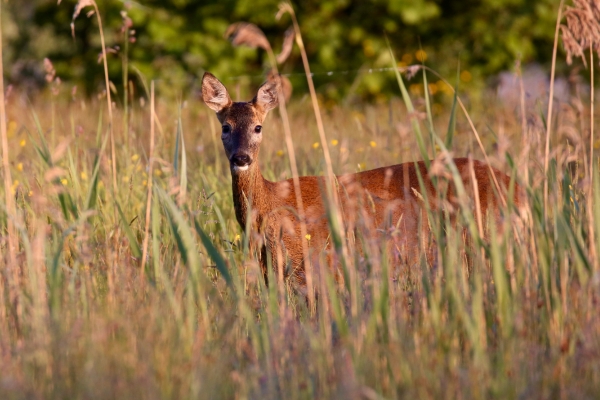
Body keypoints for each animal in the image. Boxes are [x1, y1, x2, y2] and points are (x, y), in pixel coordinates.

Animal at [202, 71, 524, 290]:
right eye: (226, 127)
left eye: (258, 127)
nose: (241, 158)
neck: (271, 208)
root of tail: (519, 190)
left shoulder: (318, 265)